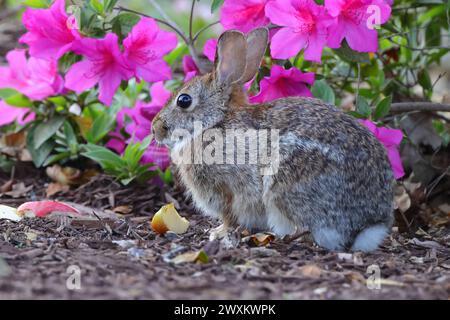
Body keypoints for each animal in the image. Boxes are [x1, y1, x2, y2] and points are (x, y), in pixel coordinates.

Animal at [153, 27, 396, 252]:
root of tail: (368, 225)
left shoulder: (226, 189)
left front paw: (218, 232)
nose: (155, 129)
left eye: (184, 100)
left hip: (285, 185)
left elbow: (230, 215)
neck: (214, 122)